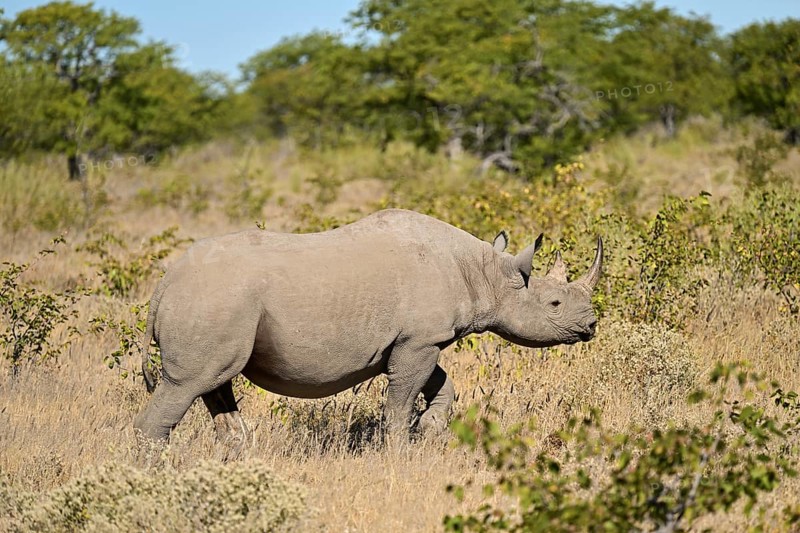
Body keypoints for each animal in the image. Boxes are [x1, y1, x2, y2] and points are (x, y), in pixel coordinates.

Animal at [134, 208, 602, 449]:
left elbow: (442, 384)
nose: (592, 325)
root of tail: (164, 284)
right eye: (555, 304)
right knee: (187, 385)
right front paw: (399, 451)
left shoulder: (420, 338)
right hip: (212, 300)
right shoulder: (419, 340)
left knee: (215, 384)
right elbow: (400, 402)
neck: (485, 272)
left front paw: (429, 428)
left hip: (216, 304)